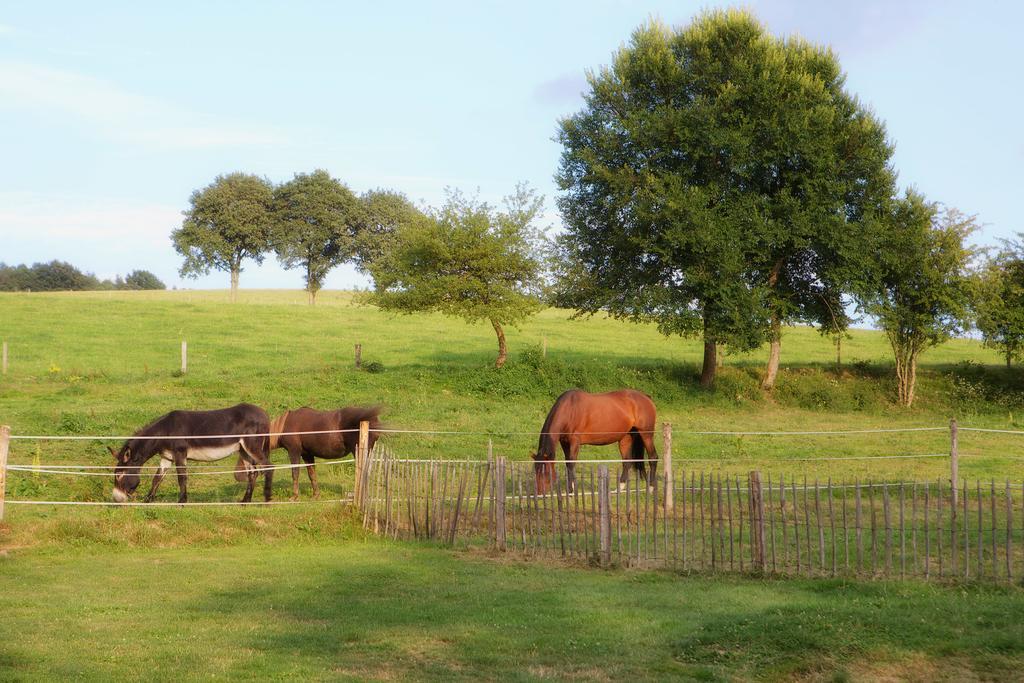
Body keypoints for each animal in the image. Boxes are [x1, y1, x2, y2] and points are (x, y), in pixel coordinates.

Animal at [111, 403, 274, 505]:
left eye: (119, 475)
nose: (116, 499)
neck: (165, 431)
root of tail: (264, 414)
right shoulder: (167, 457)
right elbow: (157, 479)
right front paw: (147, 501)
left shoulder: (180, 453)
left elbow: (182, 478)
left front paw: (182, 502)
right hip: (243, 450)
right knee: (253, 473)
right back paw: (246, 501)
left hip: (252, 446)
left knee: (269, 467)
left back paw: (267, 500)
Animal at [237, 403, 382, 499]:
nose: (238, 476)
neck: (284, 426)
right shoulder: (307, 455)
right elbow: (312, 474)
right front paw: (315, 495)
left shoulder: (294, 452)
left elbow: (295, 473)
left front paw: (294, 497)